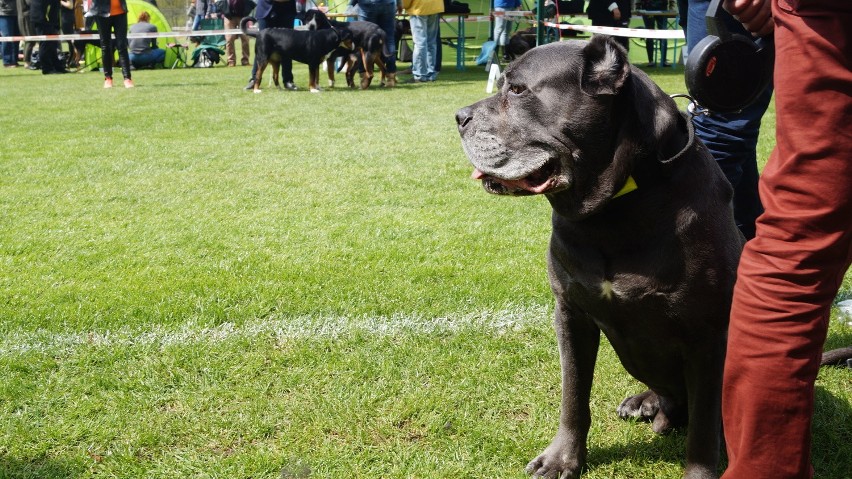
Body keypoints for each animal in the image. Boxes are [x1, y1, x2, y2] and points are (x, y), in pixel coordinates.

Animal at [456, 35, 744, 478]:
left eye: (518, 90)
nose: (459, 117)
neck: (612, 209)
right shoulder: (570, 313)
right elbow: (573, 396)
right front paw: (563, 458)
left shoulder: (707, 333)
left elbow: (702, 428)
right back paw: (646, 403)